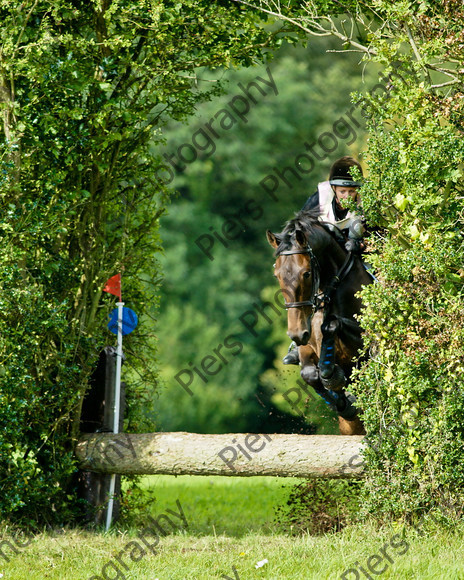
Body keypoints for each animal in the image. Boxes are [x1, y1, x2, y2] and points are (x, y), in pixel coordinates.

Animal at [266, 210, 372, 436]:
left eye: (306, 273)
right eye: (277, 275)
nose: (296, 334)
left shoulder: (365, 343)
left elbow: (331, 326)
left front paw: (332, 376)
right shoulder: (307, 346)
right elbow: (310, 375)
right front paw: (344, 403)